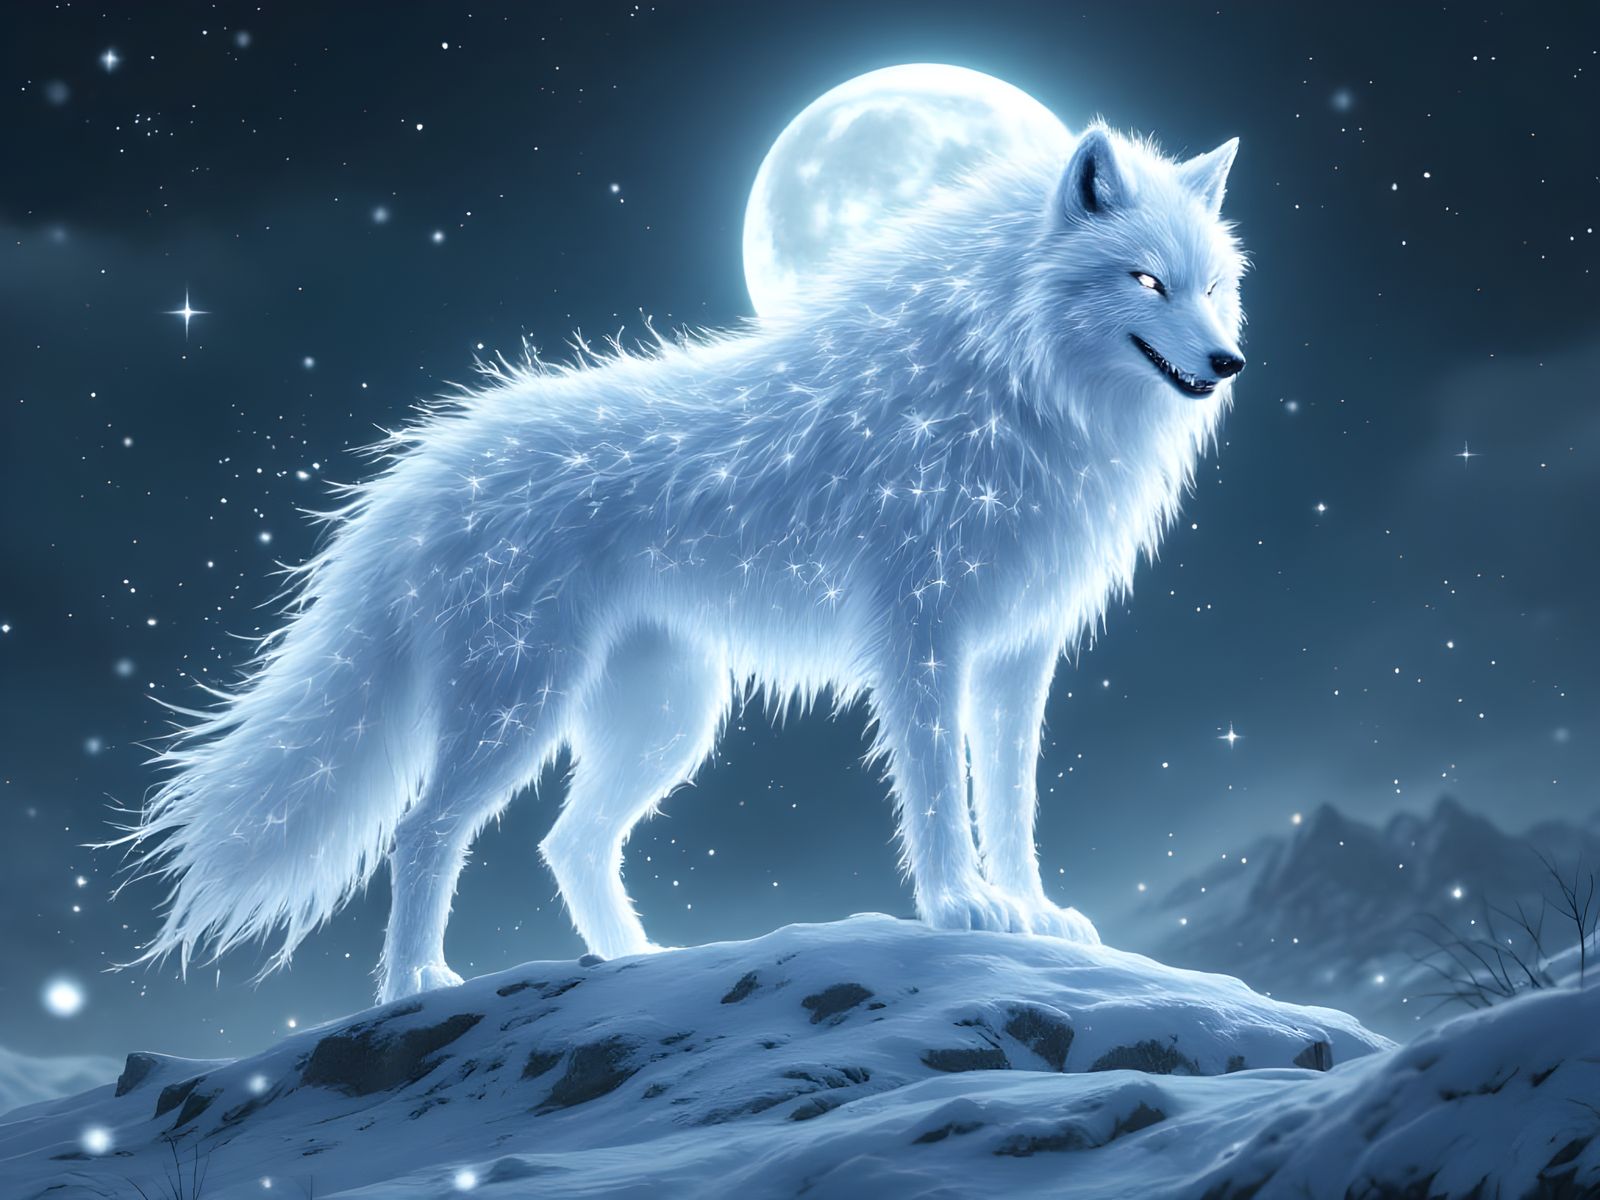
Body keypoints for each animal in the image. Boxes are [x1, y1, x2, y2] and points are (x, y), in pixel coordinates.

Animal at [120, 124, 1246, 1002]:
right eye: (1146, 279)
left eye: (1215, 288)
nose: (1230, 362)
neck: (1013, 379)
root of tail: (427, 466)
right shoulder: (920, 632)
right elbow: (935, 787)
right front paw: (962, 907)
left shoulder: (1018, 652)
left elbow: (1012, 801)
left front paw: (1034, 911)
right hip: (520, 707)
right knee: (424, 833)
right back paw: (415, 987)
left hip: (667, 719)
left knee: (566, 843)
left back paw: (644, 965)